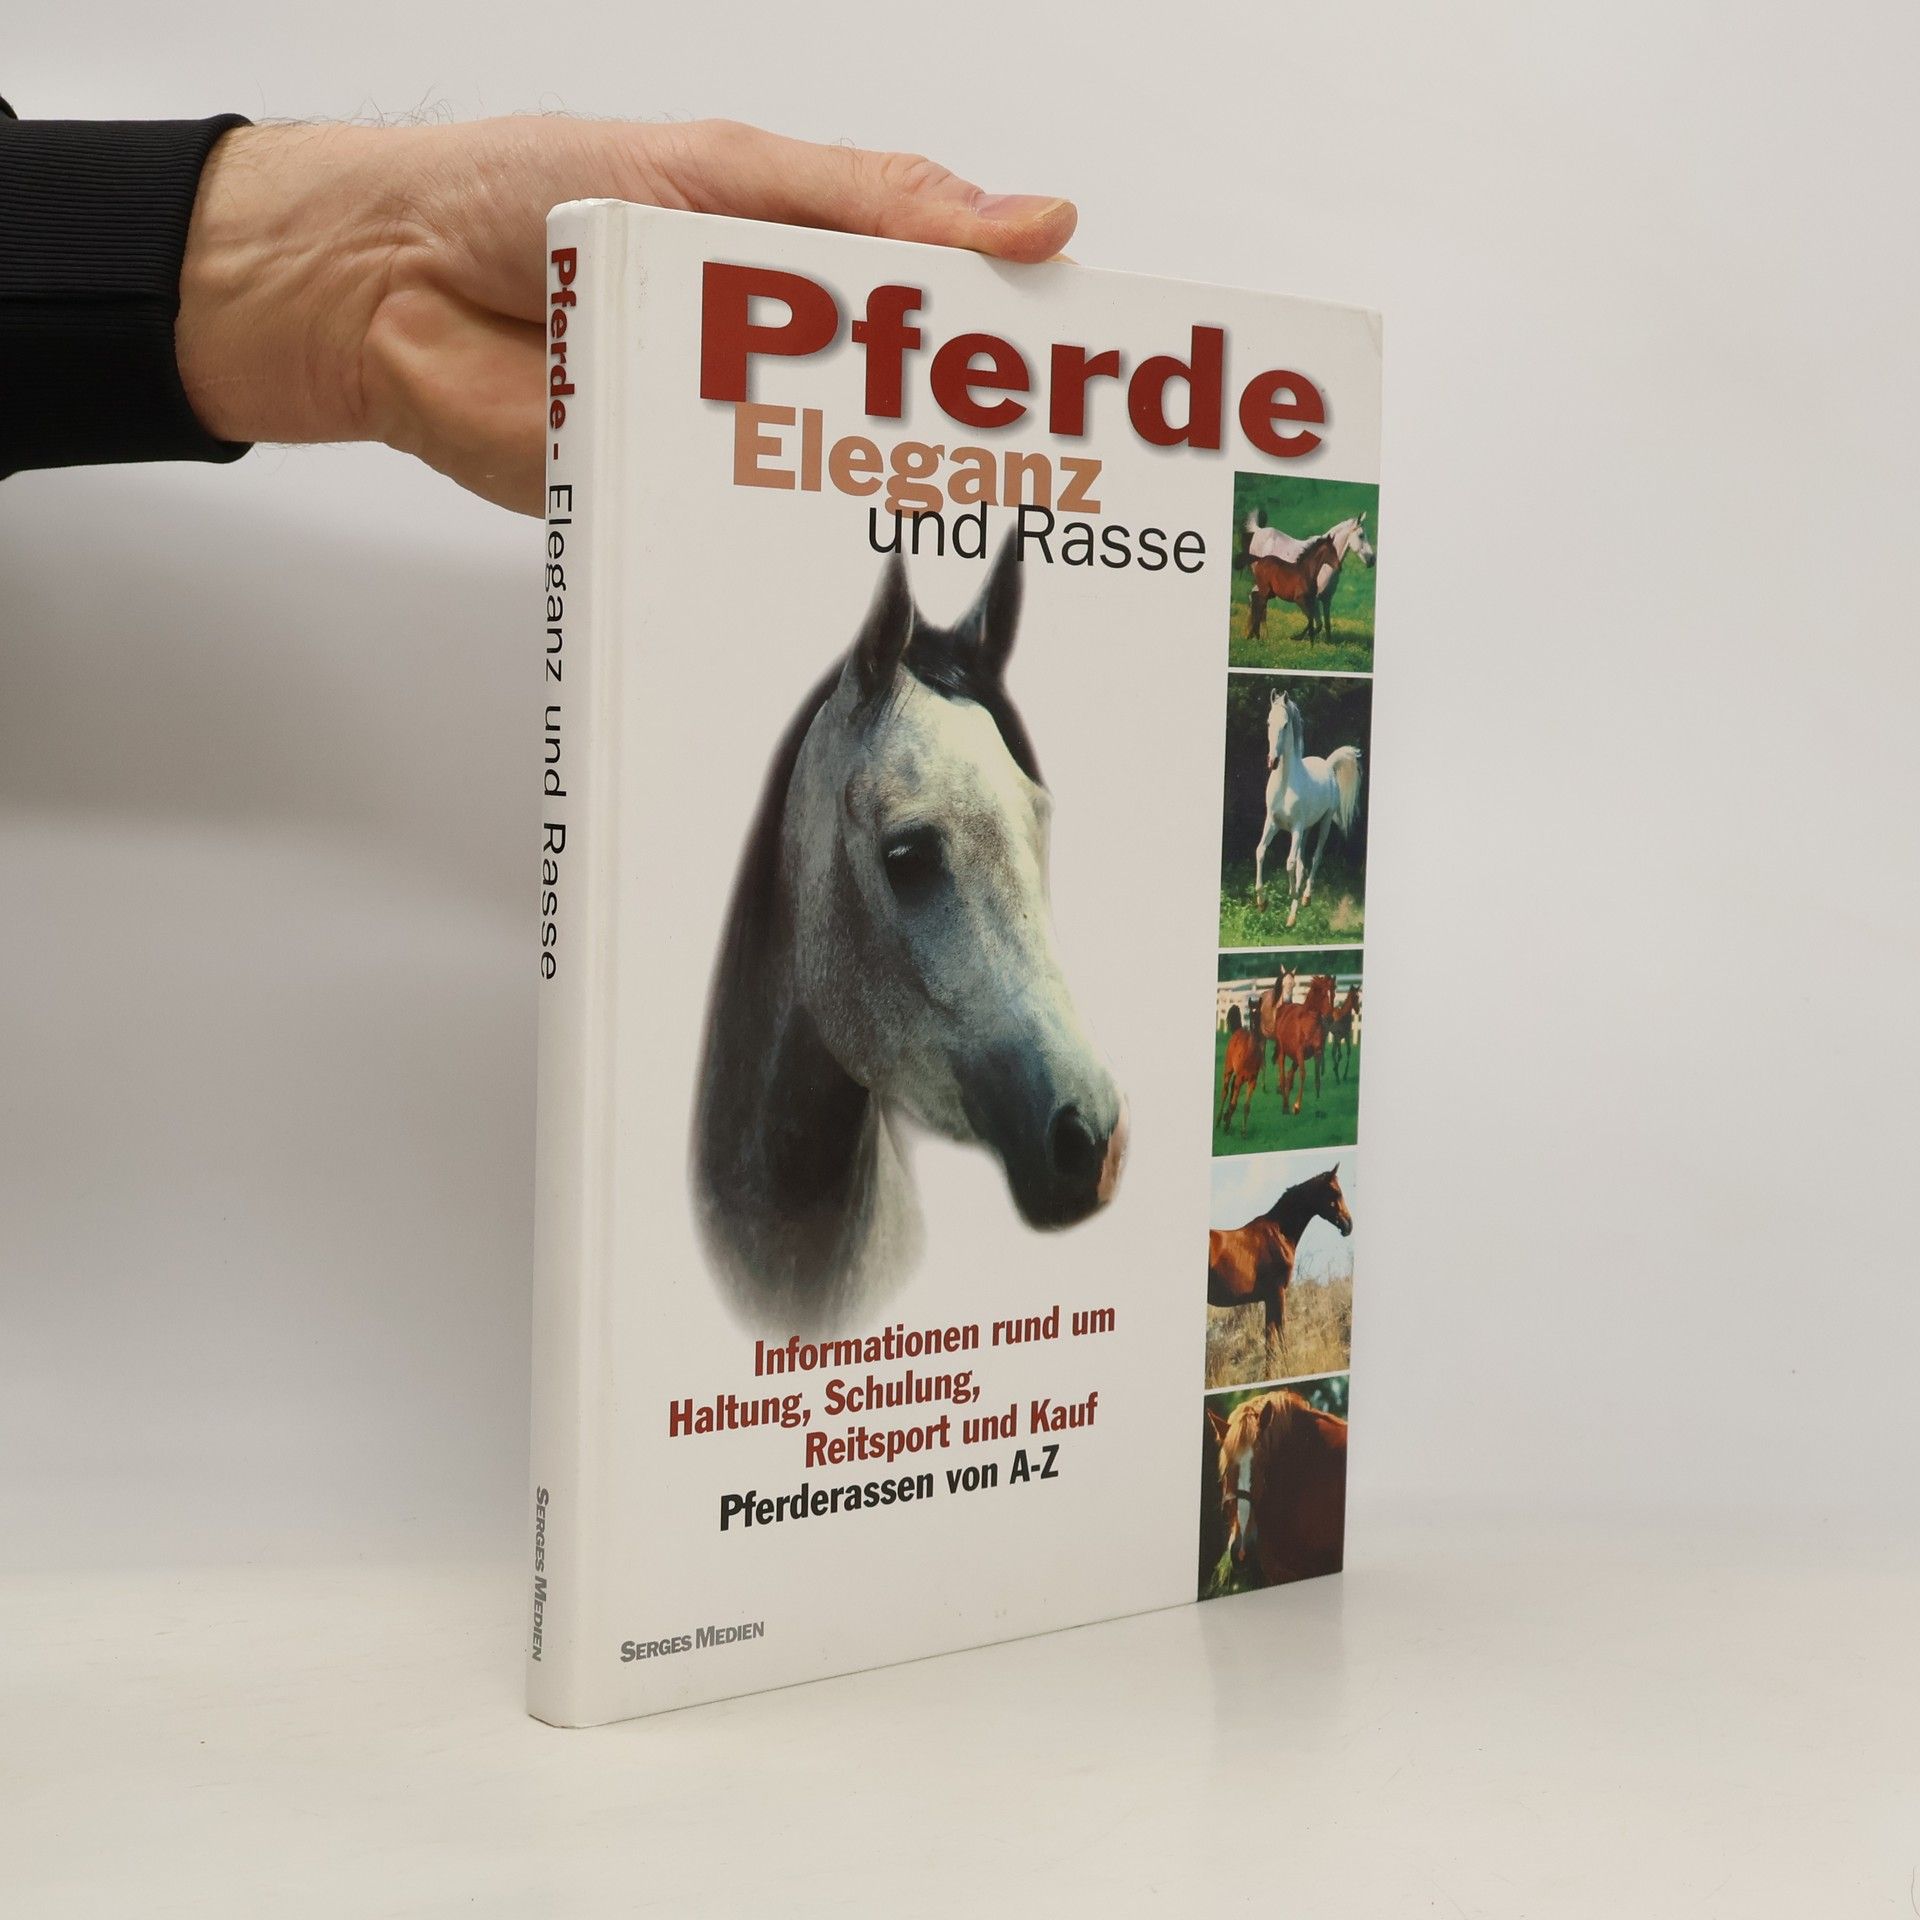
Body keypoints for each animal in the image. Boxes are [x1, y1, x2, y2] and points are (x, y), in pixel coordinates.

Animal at [1206, 1163, 1351, 1371]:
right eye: (1335, 1192)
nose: (1348, 1226)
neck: (1279, 1233)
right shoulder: (1278, 1293)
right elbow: (1281, 1334)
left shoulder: (1269, 1298)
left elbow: (1270, 1339)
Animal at [1216, 1003, 1265, 1137]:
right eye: (1251, 1015)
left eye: (1260, 1014)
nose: (1257, 1032)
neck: (1250, 1055)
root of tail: (1238, 1029)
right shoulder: (1240, 1079)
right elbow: (1234, 1103)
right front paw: (1226, 1126)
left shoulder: (1252, 1081)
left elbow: (1247, 1106)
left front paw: (1243, 1132)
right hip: (1228, 1070)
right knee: (1225, 1092)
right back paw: (1219, 1121)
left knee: (1232, 1089)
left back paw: (1226, 1116)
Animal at [1241, 510, 1375, 640]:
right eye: (1361, 535)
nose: (1372, 560)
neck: (1323, 565)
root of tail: (1259, 531)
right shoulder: (1313, 599)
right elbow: (1316, 624)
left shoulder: (1327, 599)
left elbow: (1327, 625)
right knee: (1258, 601)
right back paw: (1262, 635)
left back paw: (1250, 633)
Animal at [1253, 689, 1364, 925]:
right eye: (1268, 722)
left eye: (1286, 724)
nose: (1272, 761)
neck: (1285, 783)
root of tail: (1328, 764)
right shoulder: (1272, 823)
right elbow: (1260, 852)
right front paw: (1262, 902)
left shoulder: (1295, 827)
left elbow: (1290, 863)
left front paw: (1292, 893)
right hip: (1307, 829)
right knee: (1302, 865)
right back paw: (1292, 918)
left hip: (1323, 824)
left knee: (1315, 858)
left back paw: (1305, 897)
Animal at [1269, 974, 1337, 1115]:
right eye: (1323, 994)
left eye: (1334, 993)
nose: (1329, 1018)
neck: (1307, 1025)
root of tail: (1284, 1007)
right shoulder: (1300, 1052)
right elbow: (1303, 1074)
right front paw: (1296, 1106)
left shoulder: (1317, 1052)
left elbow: (1317, 1078)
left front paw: (1317, 1101)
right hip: (1283, 1052)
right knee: (1283, 1075)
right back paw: (1285, 1106)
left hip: (1295, 1058)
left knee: (1289, 1075)